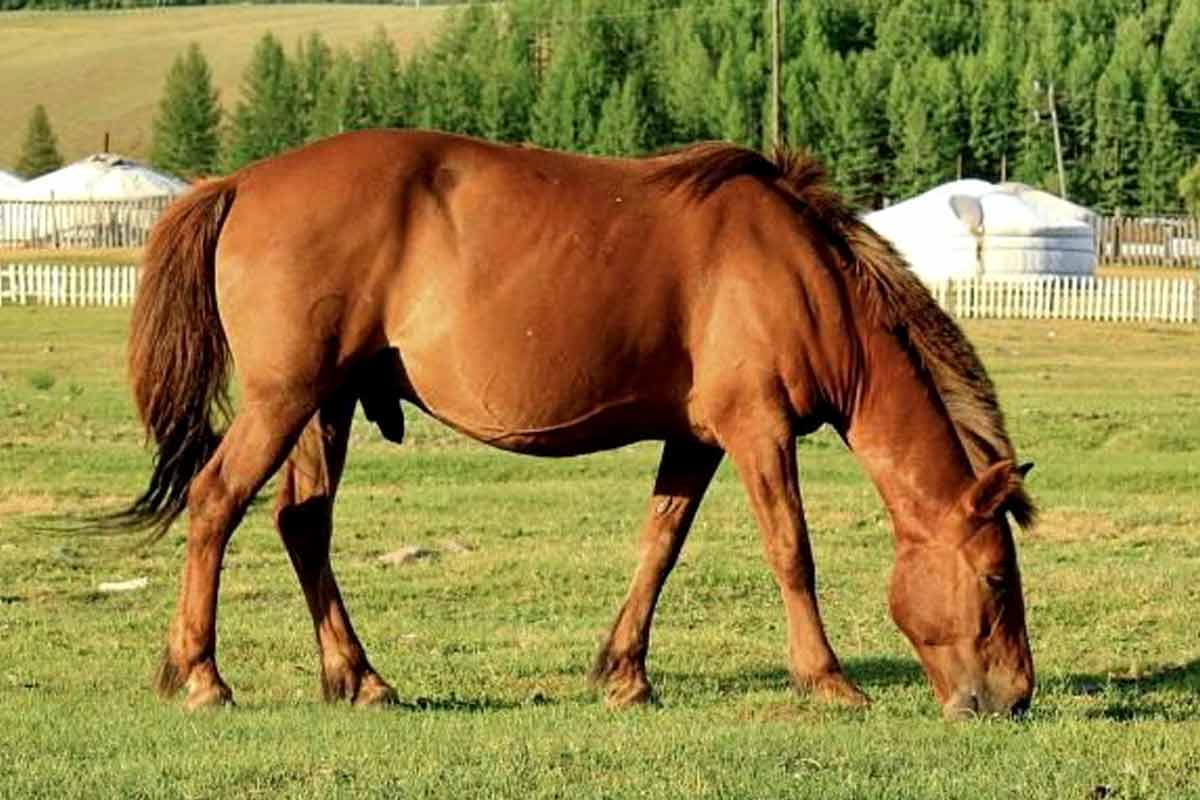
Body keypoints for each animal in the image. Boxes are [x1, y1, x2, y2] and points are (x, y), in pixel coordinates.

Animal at [122, 129, 1036, 719]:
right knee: (216, 503)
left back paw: (360, 678)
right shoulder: (758, 431)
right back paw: (202, 677)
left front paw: (625, 674)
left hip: (328, 405)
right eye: (997, 580)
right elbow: (792, 552)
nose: (1016, 698)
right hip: (284, 401)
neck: (802, 274)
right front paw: (828, 679)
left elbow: (659, 547)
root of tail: (238, 184)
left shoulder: (696, 440)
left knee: (303, 523)